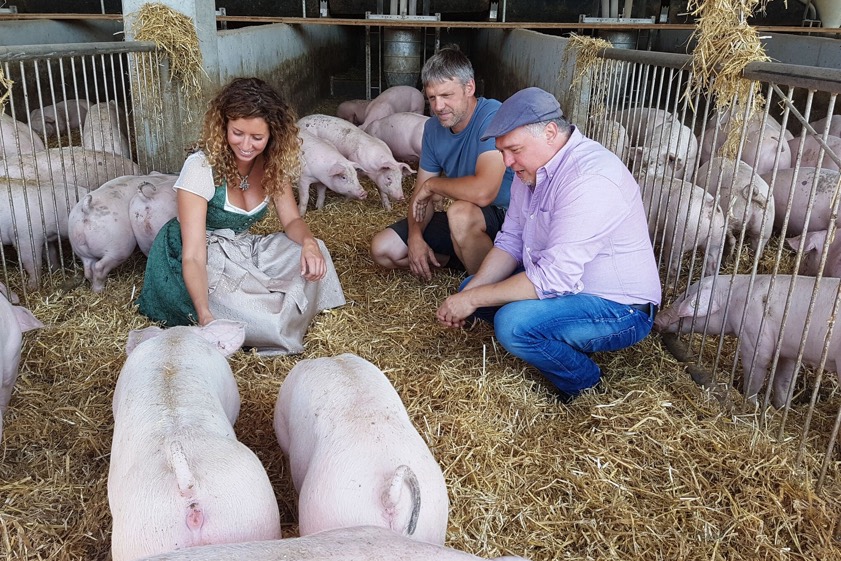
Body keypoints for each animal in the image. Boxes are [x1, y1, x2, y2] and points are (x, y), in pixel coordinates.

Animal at [655, 274, 841, 409]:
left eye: (685, 297)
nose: (657, 319)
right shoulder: (789, 351)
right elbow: (783, 381)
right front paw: (782, 408)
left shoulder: (754, 337)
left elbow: (755, 370)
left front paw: (752, 404)